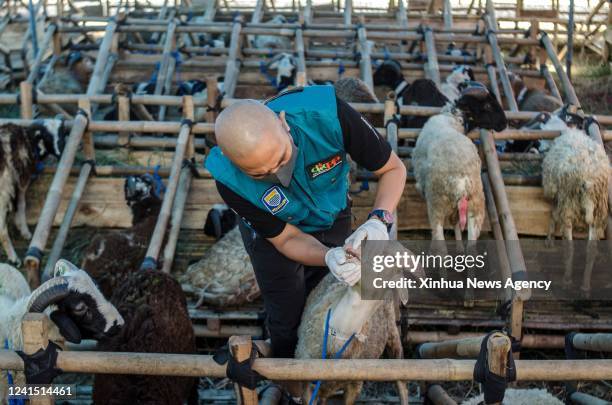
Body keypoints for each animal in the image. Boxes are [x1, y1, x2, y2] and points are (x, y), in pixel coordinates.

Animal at [0, 120, 67, 266]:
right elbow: (21, 204)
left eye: (62, 133)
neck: (29, 140)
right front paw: (25, 231)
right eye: (47, 136)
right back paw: (14, 258)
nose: (60, 153)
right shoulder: (22, 179)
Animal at [412, 82, 506, 240]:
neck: (454, 119)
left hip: (436, 205)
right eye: (487, 105)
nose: (505, 123)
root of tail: (462, 184)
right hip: (476, 207)